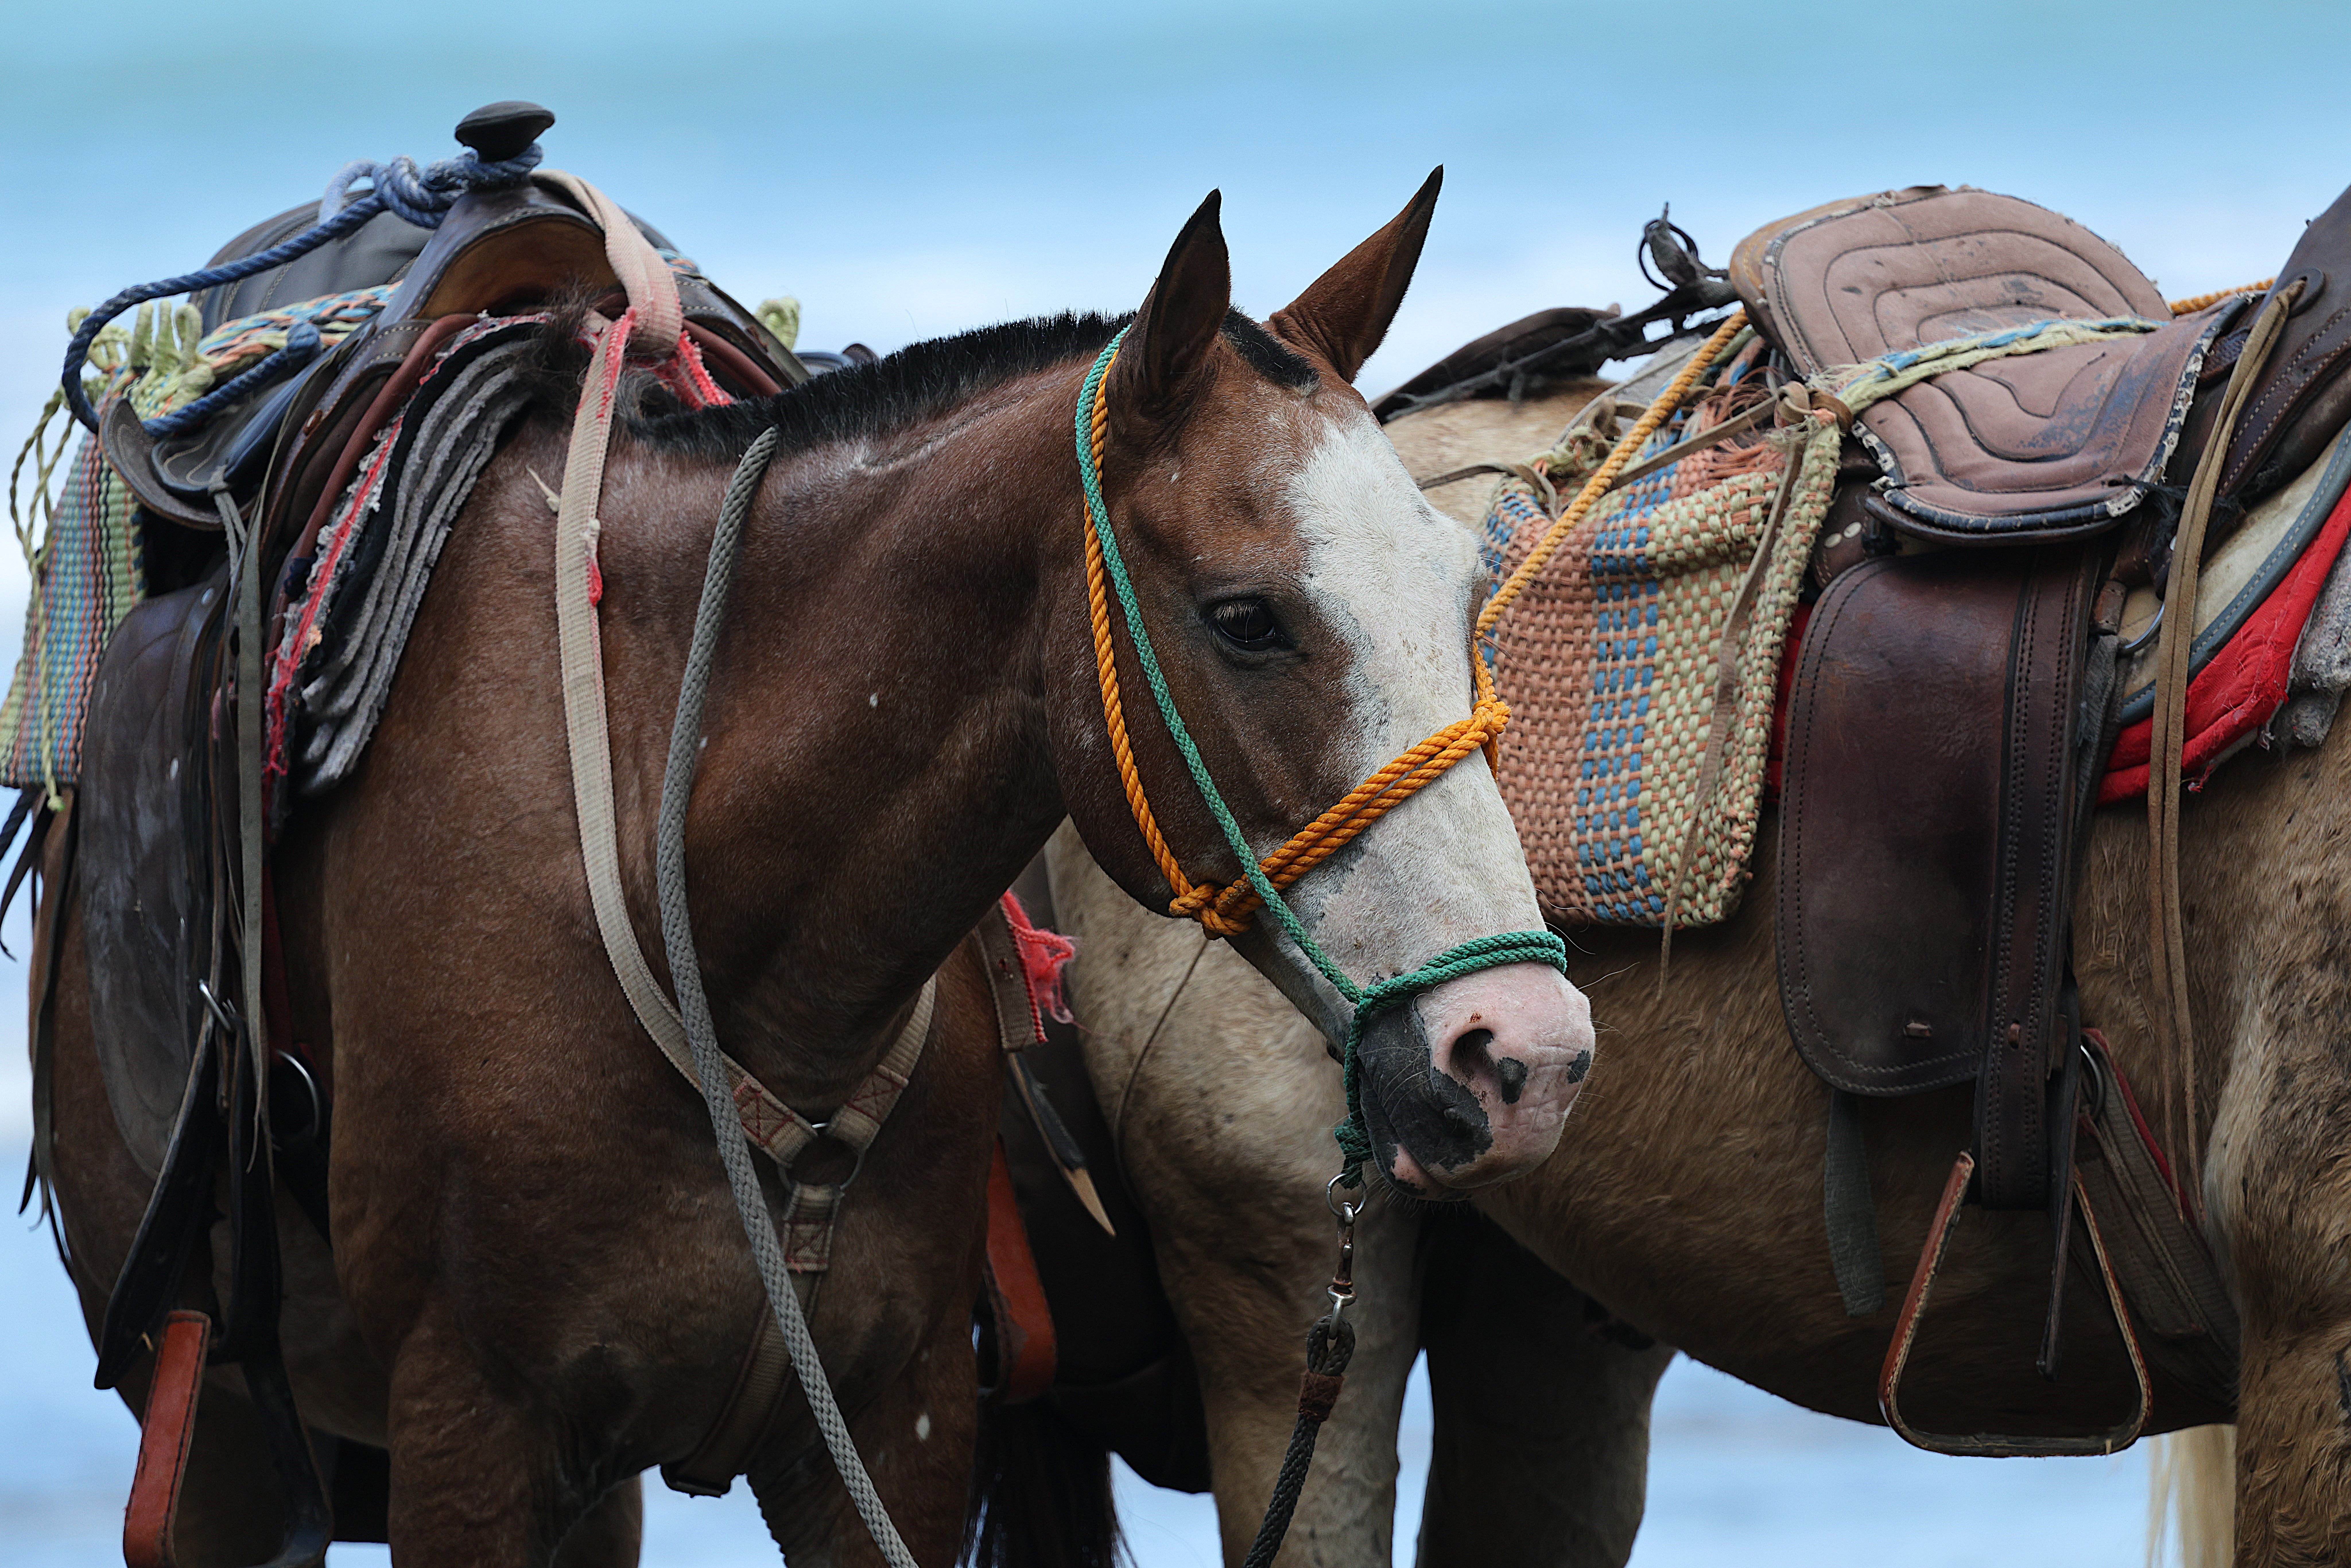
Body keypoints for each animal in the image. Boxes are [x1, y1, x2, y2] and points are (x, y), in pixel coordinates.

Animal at [31, 178, 1597, 1565]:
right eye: (1246, 617)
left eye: (1466, 591)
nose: (1523, 1053)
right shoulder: (469, 1434)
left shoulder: (892, 1430)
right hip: (224, 1436)